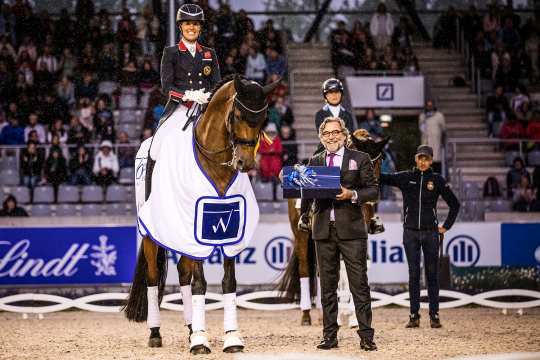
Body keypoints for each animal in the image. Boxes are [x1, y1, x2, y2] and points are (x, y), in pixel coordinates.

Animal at [124, 75, 278, 354]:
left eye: (263, 119)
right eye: (237, 115)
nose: (246, 163)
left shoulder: (229, 231)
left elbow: (228, 282)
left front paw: (230, 338)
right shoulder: (196, 229)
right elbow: (200, 284)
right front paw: (200, 341)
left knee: (183, 275)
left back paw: (190, 329)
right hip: (152, 233)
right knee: (153, 278)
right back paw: (156, 333)